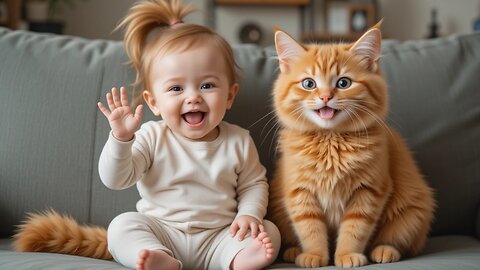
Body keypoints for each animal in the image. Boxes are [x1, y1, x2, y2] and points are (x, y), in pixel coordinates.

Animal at [268, 23, 436, 268]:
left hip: (412, 210)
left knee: (402, 242)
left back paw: (385, 250)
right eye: (309, 84)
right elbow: (310, 228)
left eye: (343, 83)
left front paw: (347, 255)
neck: (331, 142)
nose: (325, 97)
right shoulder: (299, 192)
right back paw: (293, 251)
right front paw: (314, 255)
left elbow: (355, 228)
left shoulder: (369, 191)